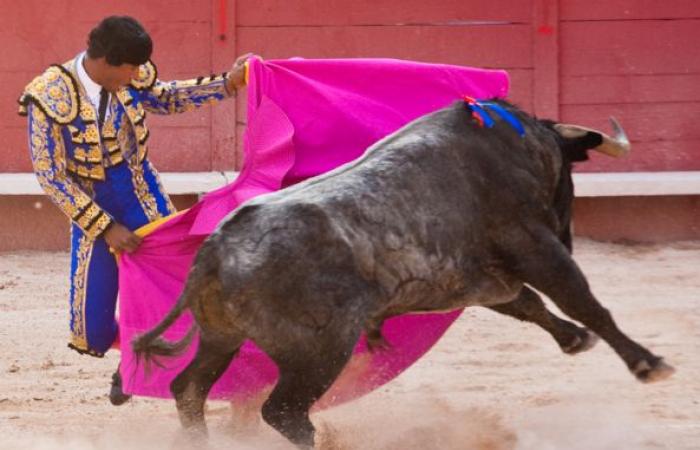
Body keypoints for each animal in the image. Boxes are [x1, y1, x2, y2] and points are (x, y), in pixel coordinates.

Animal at [131, 100, 672, 448]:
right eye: (572, 176)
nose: (571, 231)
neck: (518, 147)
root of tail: (214, 251)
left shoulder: (481, 279)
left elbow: (529, 304)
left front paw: (574, 340)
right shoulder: (535, 246)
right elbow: (583, 301)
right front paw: (648, 363)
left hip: (221, 337)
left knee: (189, 389)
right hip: (319, 352)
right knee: (282, 411)